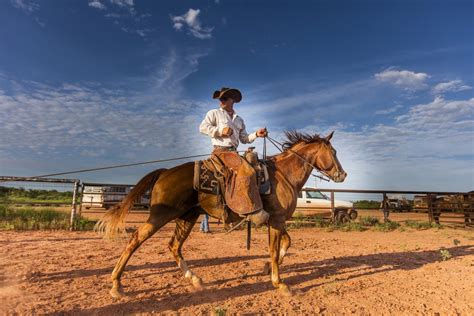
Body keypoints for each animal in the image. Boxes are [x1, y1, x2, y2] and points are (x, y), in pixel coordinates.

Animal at [97, 130, 348, 298]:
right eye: (333, 152)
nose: (342, 174)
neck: (284, 175)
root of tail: (165, 172)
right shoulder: (276, 220)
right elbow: (275, 250)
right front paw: (280, 283)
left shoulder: (277, 221)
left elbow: (285, 244)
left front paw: (267, 268)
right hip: (160, 216)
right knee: (135, 239)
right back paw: (116, 285)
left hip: (187, 217)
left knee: (174, 246)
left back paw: (195, 279)